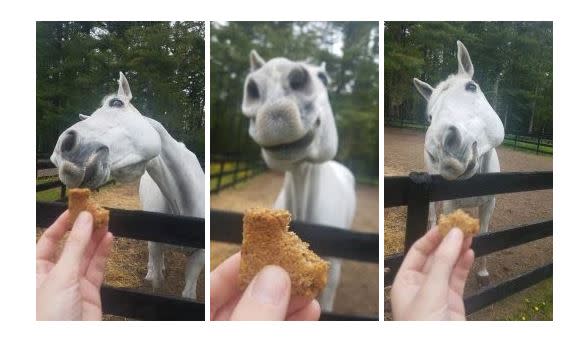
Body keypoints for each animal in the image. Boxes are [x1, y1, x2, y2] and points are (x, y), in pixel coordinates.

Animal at [50, 72, 206, 300]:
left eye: (116, 103)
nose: (62, 151)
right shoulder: (155, 244)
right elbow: (157, 282)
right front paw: (154, 276)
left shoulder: (199, 257)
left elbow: (188, 295)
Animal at [416, 40, 506, 282]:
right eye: (429, 115)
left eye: (471, 87)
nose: (441, 146)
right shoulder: (449, 204)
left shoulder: (489, 204)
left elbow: (484, 233)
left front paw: (482, 273)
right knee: (431, 215)